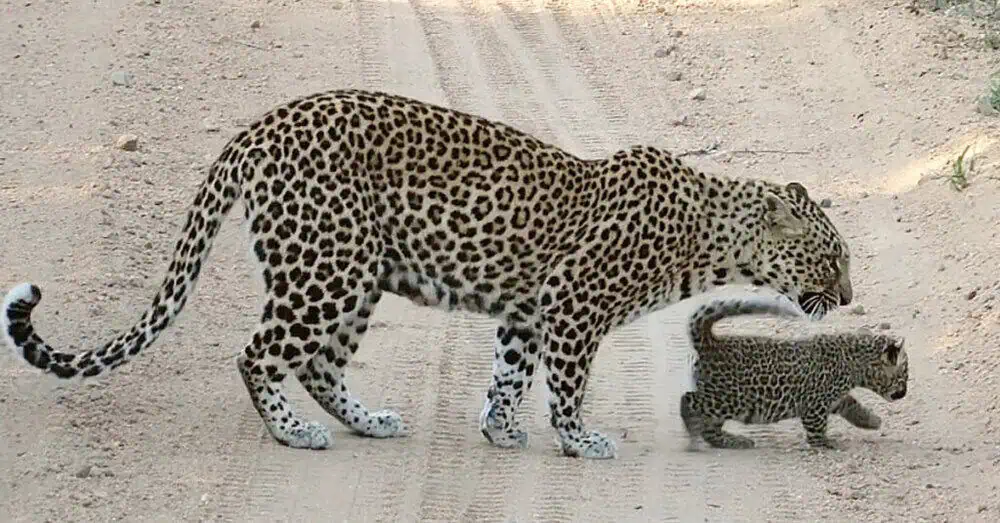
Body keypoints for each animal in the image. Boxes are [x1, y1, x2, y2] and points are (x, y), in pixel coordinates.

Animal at [1, 88, 854, 460]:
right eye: (834, 255)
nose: (849, 295)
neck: (707, 235)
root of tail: (259, 127)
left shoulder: (527, 309)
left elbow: (510, 372)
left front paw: (500, 429)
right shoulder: (574, 306)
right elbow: (566, 385)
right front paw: (580, 440)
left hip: (356, 274)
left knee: (318, 364)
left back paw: (366, 419)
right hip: (327, 267)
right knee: (258, 354)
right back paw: (294, 432)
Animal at [680, 294, 908, 451]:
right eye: (904, 375)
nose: (904, 392)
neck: (854, 361)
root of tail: (710, 342)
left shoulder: (833, 398)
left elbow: (851, 403)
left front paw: (872, 421)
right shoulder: (815, 404)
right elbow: (817, 427)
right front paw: (825, 443)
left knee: (710, 430)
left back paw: (735, 440)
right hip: (725, 399)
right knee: (688, 403)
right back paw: (694, 433)